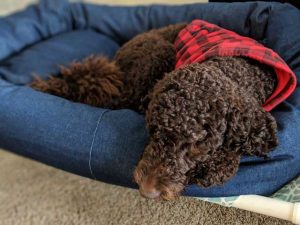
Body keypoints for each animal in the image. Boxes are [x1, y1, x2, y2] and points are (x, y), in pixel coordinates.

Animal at [29, 24, 278, 200]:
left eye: (196, 145)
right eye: (153, 131)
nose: (147, 191)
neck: (230, 66)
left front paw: (220, 163)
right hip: (157, 55)